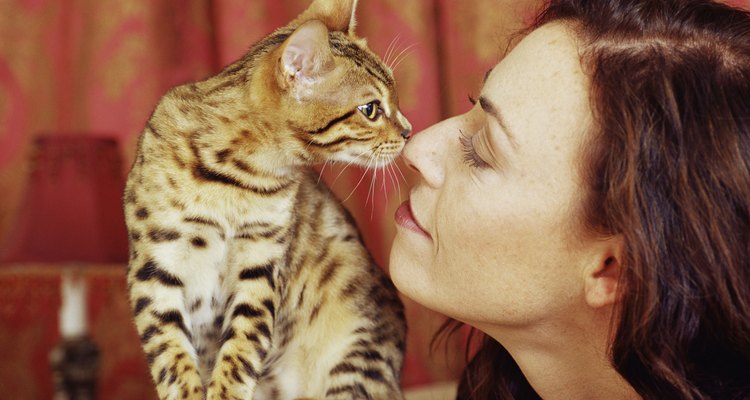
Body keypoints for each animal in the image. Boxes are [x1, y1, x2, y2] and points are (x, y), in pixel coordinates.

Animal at [126, 0, 414, 398]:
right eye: (370, 109)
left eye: (395, 98)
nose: (409, 131)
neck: (235, 181)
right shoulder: (155, 267)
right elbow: (171, 358)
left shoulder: (262, 265)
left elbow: (241, 349)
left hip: (353, 359)